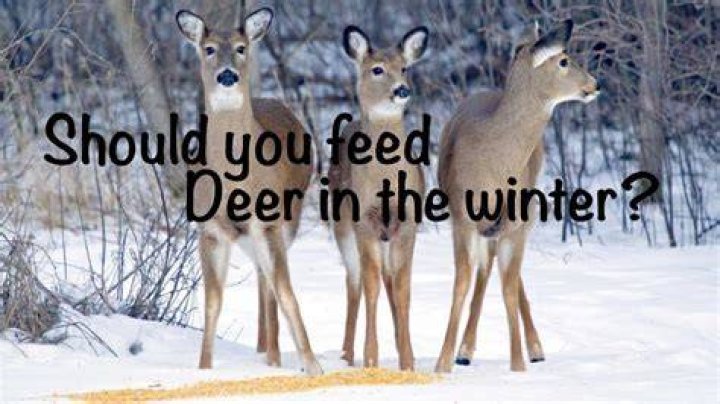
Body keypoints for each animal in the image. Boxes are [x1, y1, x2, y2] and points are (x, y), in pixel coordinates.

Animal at [176, 8, 322, 375]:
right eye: (209, 48)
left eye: (241, 48)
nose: (227, 75)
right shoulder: (210, 230)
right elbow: (213, 302)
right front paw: (204, 367)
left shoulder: (268, 223)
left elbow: (286, 291)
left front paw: (312, 365)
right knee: (261, 276)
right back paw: (264, 351)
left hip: (288, 219)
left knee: (270, 282)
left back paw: (274, 356)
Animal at [328, 25, 429, 371]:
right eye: (377, 69)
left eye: (405, 67)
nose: (402, 90)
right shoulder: (364, 223)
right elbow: (371, 287)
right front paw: (371, 359)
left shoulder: (408, 222)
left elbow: (403, 290)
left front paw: (408, 361)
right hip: (342, 227)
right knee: (355, 281)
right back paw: (346, 354)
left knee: (387, 280)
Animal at [434, 19, 599, 373]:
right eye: (563, 60)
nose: (595, 84)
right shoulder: (462, 218)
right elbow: (462, 281)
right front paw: (442, 363)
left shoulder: (514, 221)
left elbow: (508, 286)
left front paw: (518, 365)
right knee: (487, 268)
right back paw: (465, 351)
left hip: (523, 213)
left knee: (504, 272)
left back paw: (532, 348)